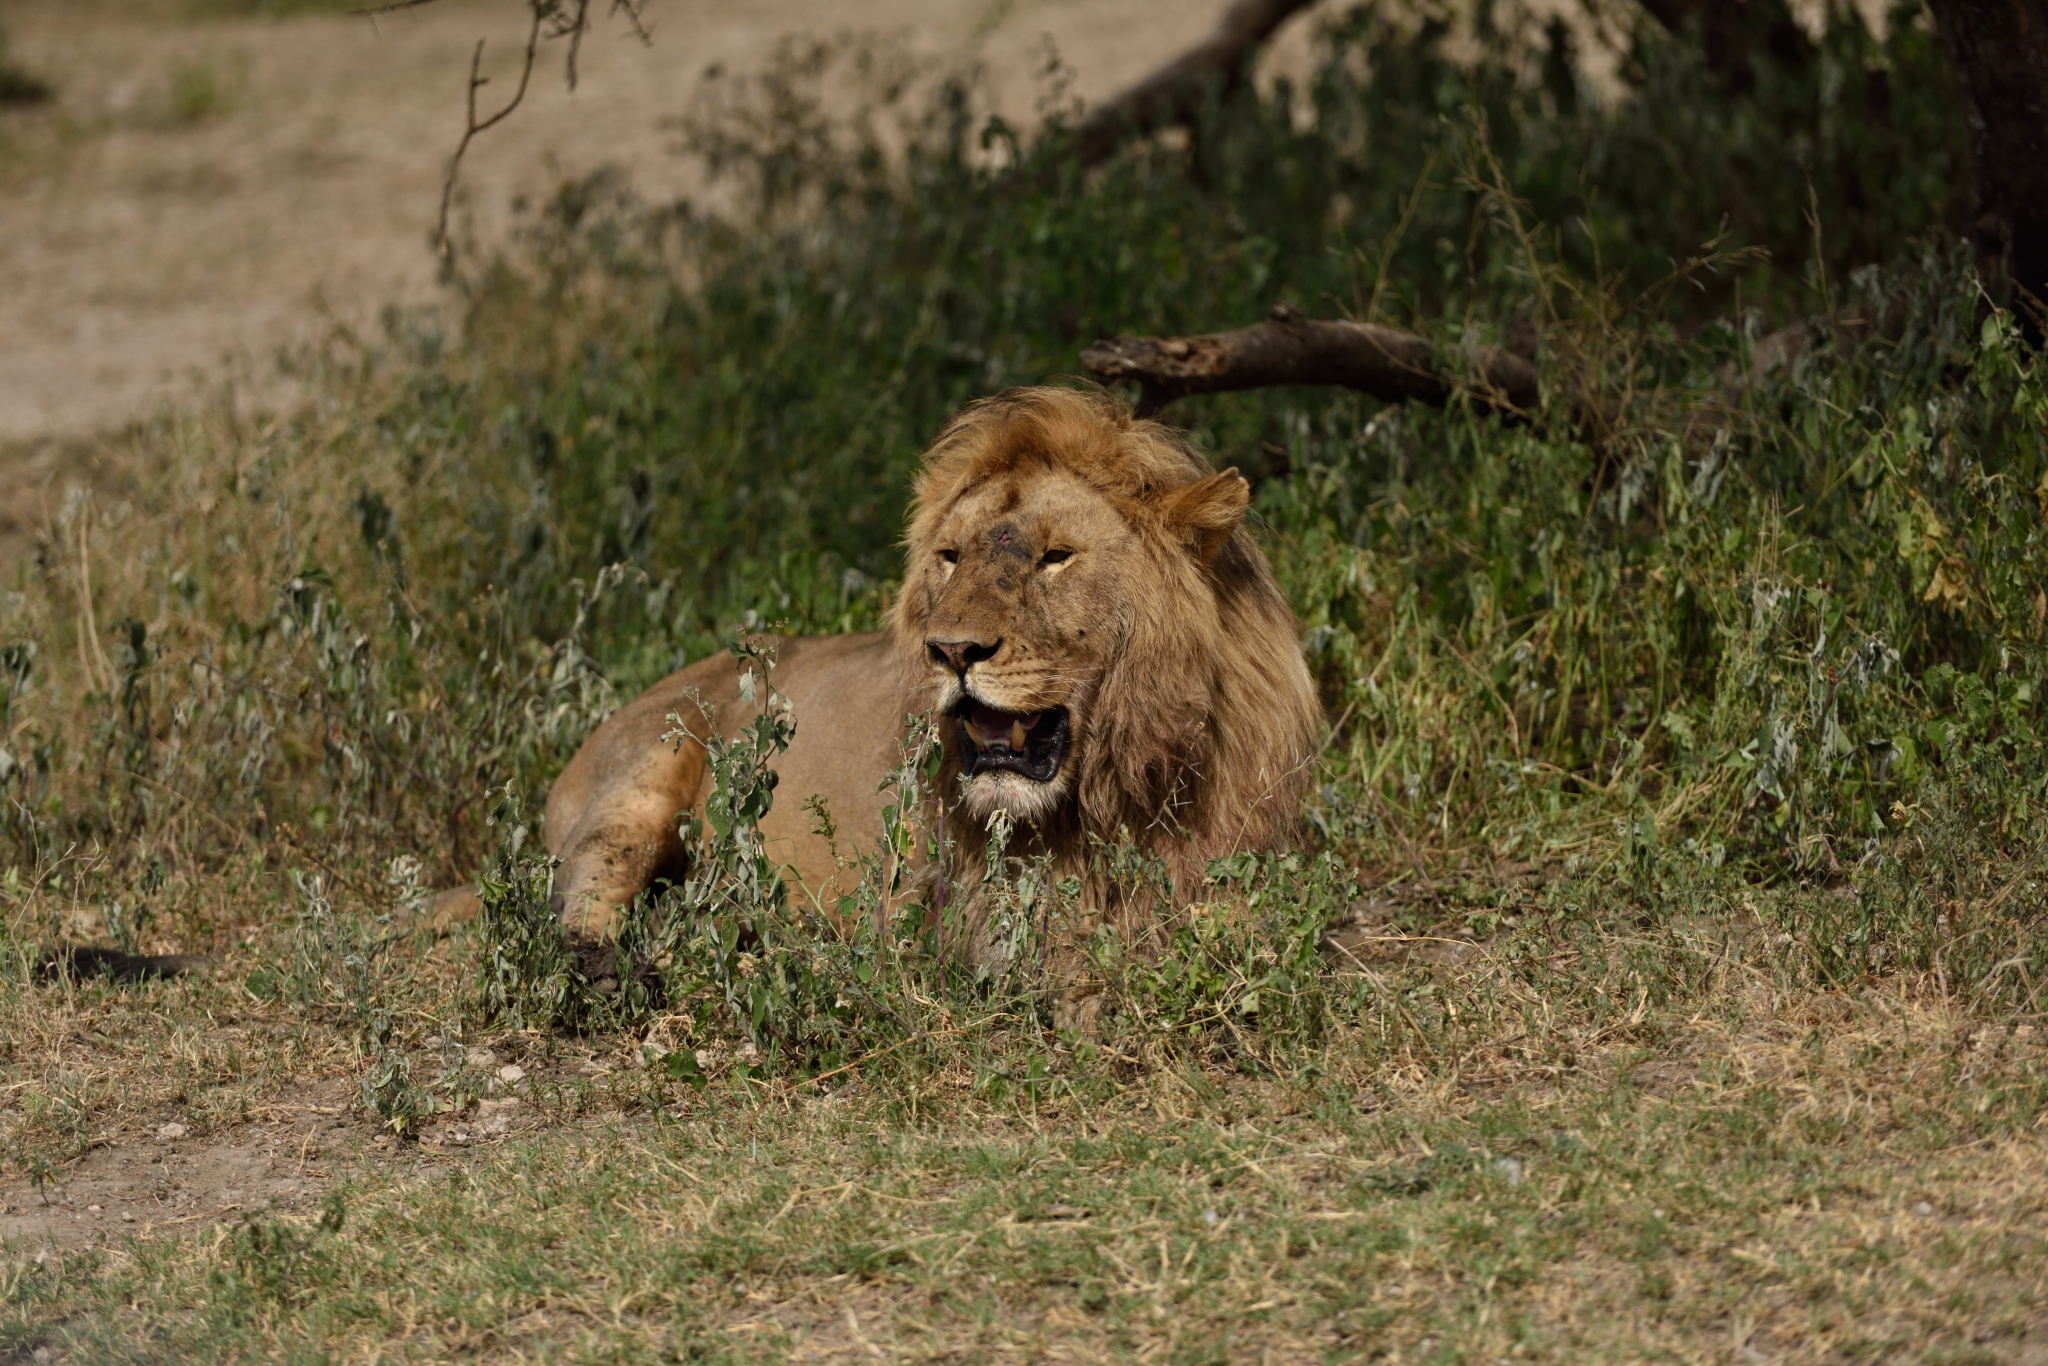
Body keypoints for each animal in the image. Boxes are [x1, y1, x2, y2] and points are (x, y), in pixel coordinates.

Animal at [536, 382, 1318, 962]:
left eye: (1055, 557)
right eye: (950, 556)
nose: (953, 651)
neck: (1119, 788)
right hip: (650, 768)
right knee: (580, 893)